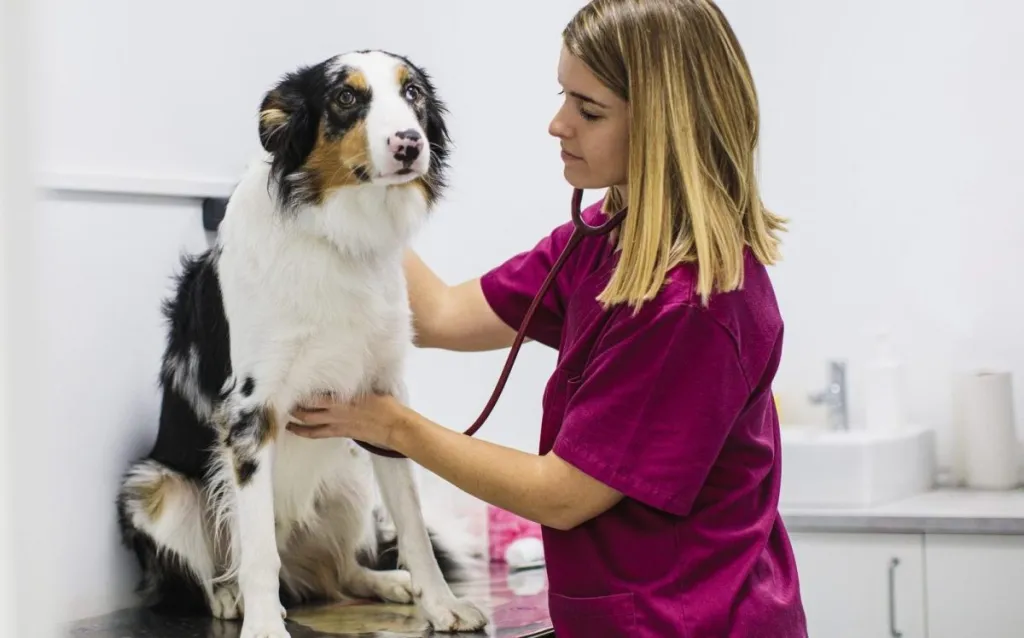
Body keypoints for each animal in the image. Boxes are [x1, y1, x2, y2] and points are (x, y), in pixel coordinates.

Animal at [114, 51, 489, 638]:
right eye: (345, 97)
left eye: (413, 94)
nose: (410, 144)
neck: (335, 234)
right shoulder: (250, 414)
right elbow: (258, 552)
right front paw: (265, 626)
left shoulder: (385, 402)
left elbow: (413, 525)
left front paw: (442, 604)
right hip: (153, 490)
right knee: (221, 571)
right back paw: (230, 598)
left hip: (349, 476)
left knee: (339, 571)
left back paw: (387, 582)